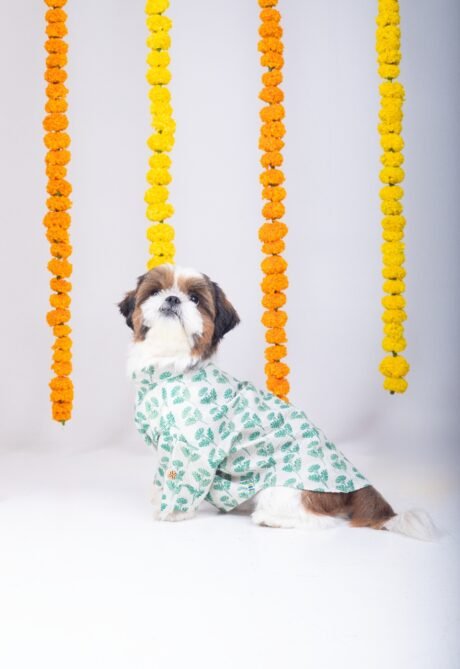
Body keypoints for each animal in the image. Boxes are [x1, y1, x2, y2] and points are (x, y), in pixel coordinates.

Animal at [119, 263, 436, 540]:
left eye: (195, 299)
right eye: (155, 291)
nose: (173, 298)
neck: (170, 368)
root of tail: (354, 488)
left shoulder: (192, 449)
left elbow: (181, 479)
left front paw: (172, 513)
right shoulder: (167, 445)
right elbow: (162, 475)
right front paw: (158, 497)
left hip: (284, 489)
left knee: (321, 519)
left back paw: (271, 519)